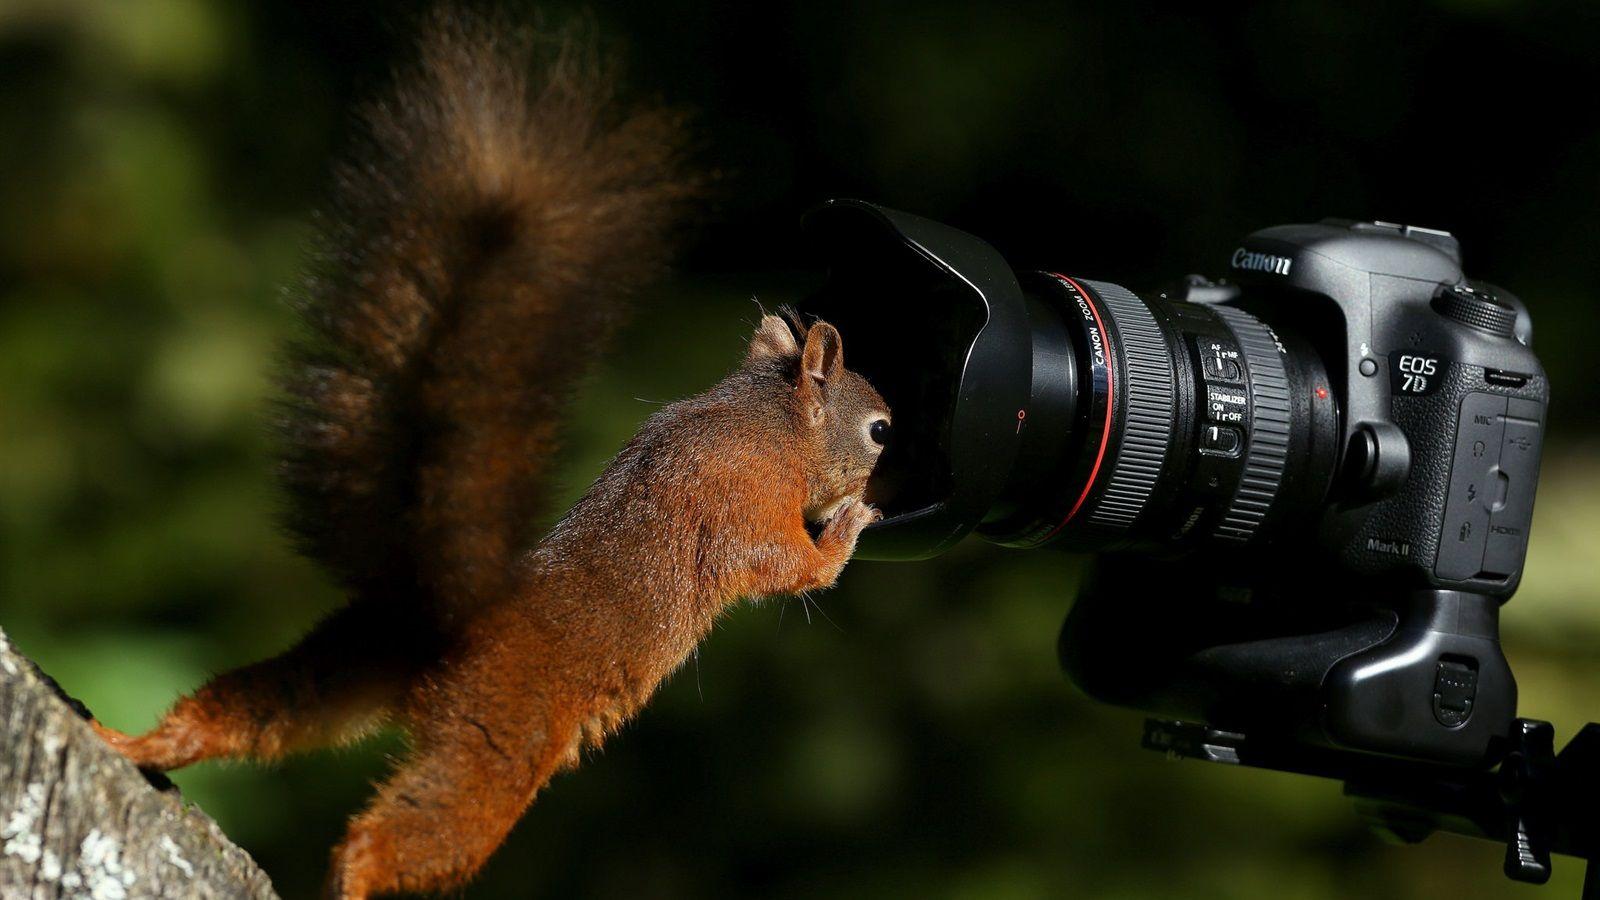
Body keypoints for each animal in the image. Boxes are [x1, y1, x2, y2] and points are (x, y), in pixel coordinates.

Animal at [90, 9, 891, 899]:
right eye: (879, 431)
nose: (890, 465)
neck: (766, 421)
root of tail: (448, 615)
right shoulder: (748, 501)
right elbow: (794, 569)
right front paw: (854, 521)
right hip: (501, 735)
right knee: (397, 833)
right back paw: (350, 876)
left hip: (352, 658)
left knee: (249, 711)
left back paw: (131, 742)